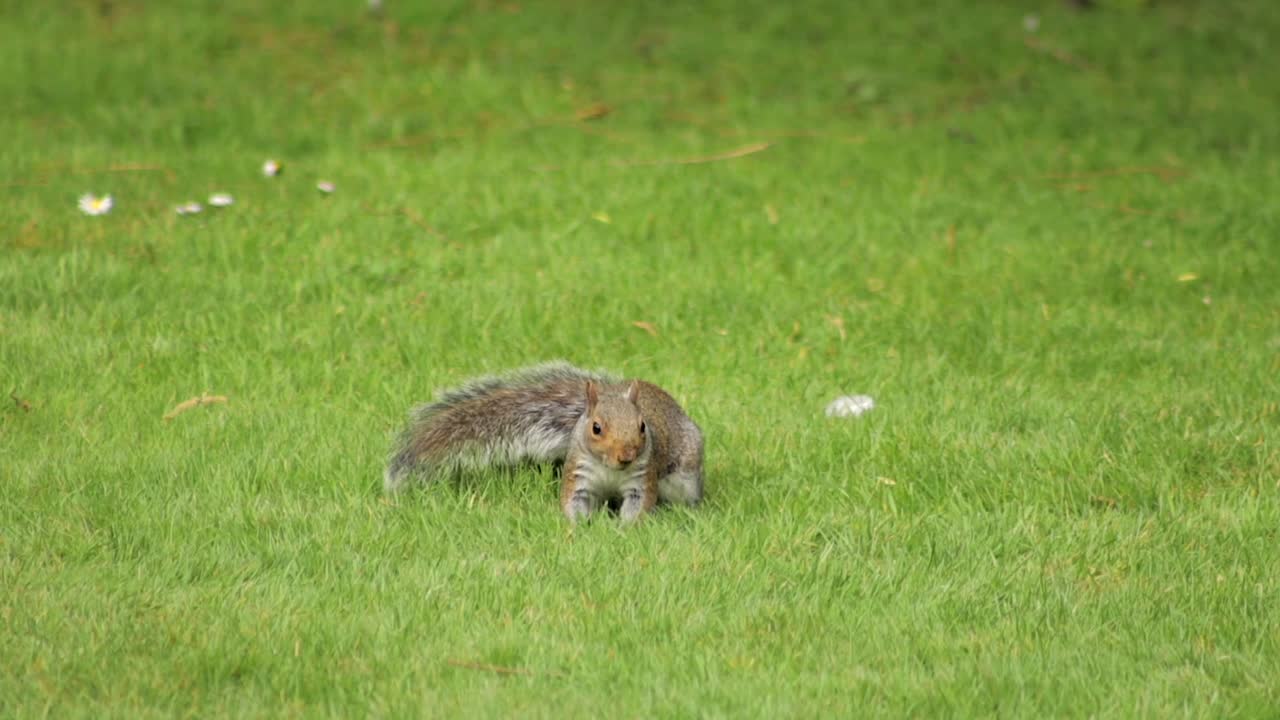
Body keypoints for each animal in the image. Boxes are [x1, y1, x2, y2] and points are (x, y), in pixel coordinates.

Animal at [384, 362, 704, 522]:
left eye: (642, 426)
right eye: (596, 428)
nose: (626, 455)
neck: (609, 469)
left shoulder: (642, 478)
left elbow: (638, 506)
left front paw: (622, 529)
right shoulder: (578, 474)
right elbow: (573, 502)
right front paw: (580, 528)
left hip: (686, 474)